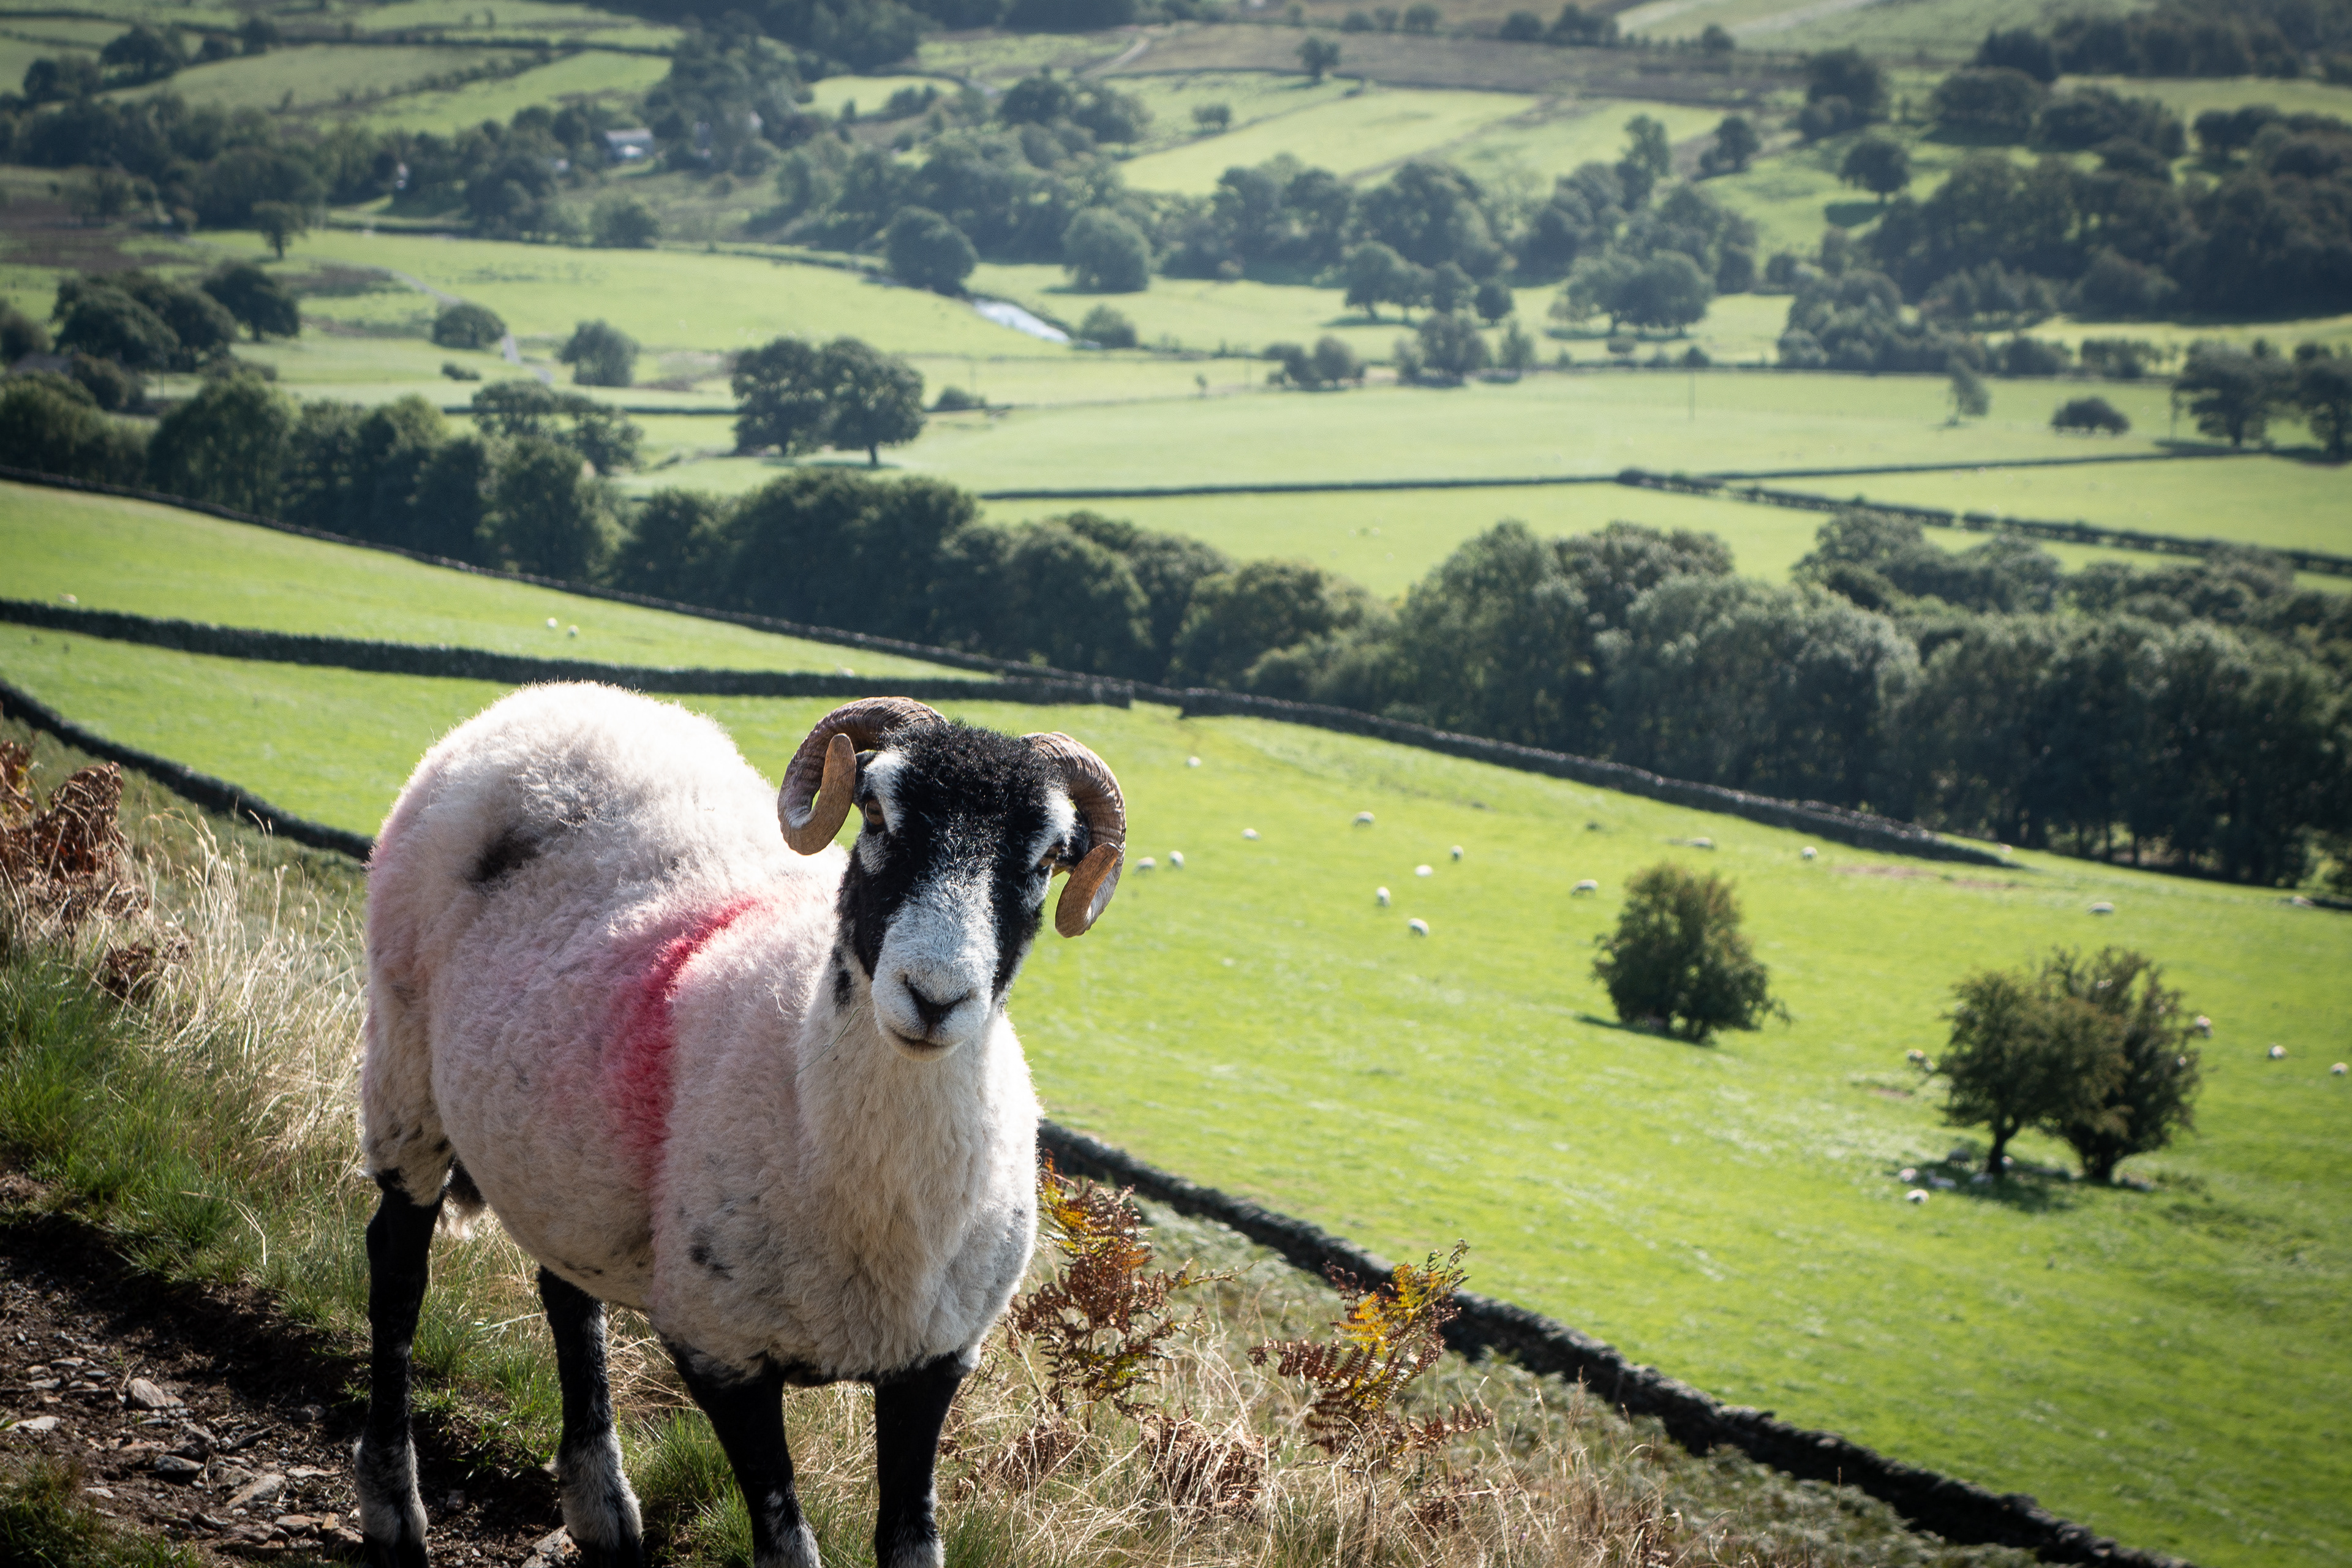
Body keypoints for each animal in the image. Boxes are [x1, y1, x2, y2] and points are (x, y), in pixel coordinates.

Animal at [354, 687, 1126, 1568]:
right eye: (876, 813)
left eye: (1048, 858)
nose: (934, 997)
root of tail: (556, 696)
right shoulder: (719, 1351)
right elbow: (787, 1545)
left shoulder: (931, 1362)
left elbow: (911, 1543)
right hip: (403, 1066)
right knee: (398, 1269)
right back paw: (393, 1505)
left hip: (565, 1151)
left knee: (566, 1290)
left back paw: (600, 1501)